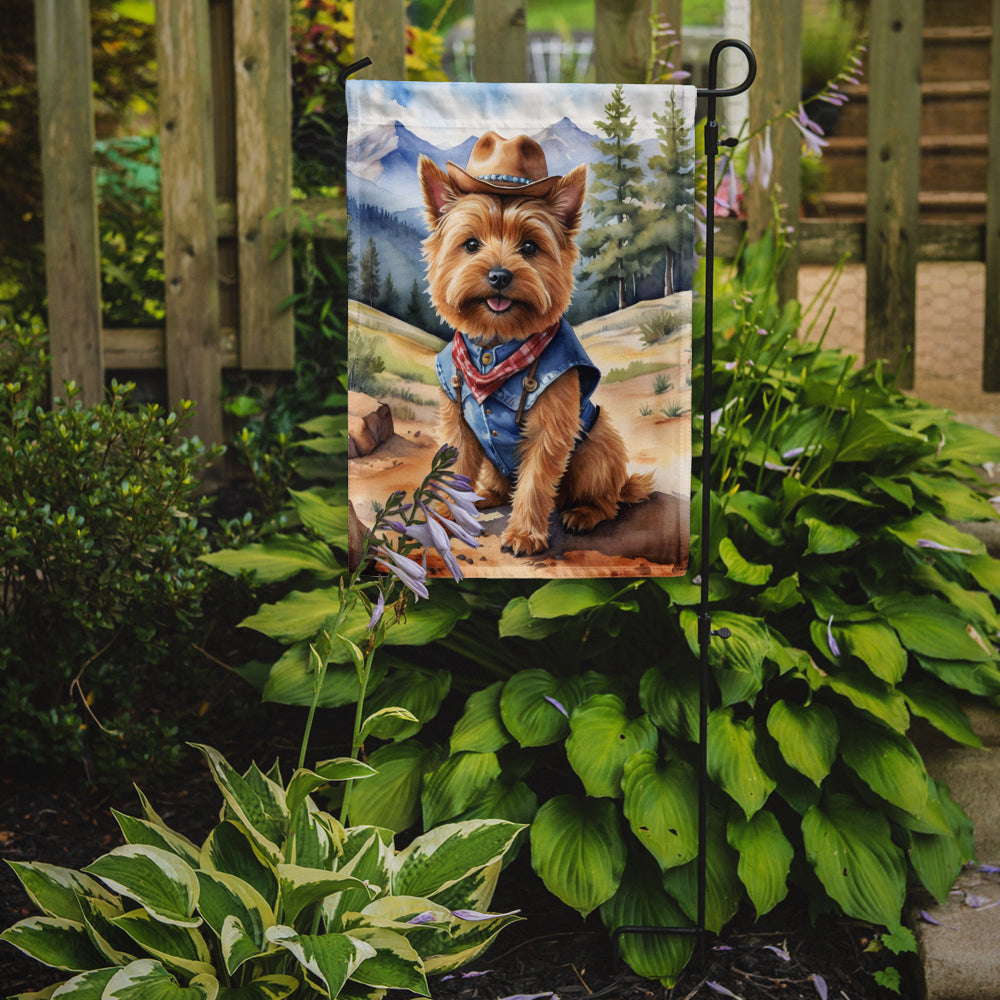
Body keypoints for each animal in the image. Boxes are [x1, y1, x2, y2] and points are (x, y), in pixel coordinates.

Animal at [418, 132, 652, 556]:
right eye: (470, 244)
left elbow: (535, 481)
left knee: (606, 500)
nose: (498, 275)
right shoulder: (459, 425)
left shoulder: (551, 428)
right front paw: (443, 519)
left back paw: (583, 513)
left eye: (529, 247)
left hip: (597, 445)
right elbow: (454, 470)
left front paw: (524, 535)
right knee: (499, 483)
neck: (495, 348)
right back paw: (485, 495)